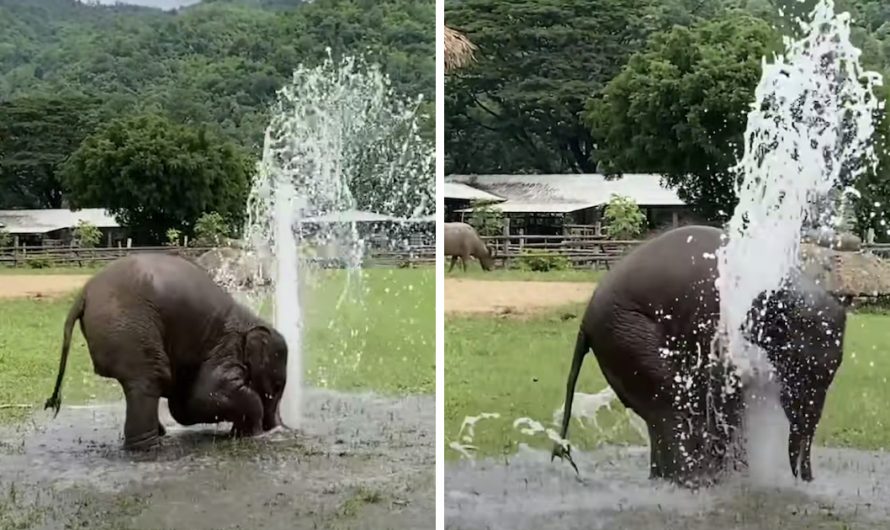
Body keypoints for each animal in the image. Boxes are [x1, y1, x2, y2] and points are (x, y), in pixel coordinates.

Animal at [45, 252, 288, 446]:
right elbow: (204, 395)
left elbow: (184, 406)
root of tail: (84, 294)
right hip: (130, 328)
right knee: (150, 378)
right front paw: (255, 435)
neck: (250, 320)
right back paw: (151, 446)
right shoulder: (226, 347)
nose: (279, 430)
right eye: (276, 388)